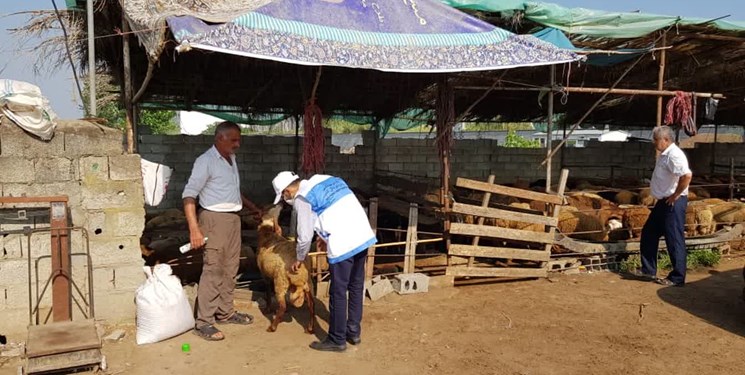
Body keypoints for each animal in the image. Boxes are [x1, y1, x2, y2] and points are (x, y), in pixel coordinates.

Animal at [258, 206, 316, 334]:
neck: (268, 234)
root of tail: (301, 274)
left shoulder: (265, 276)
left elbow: (268, 293)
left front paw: (268, 309)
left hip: (280, 281)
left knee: (282, 306)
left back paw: (272, 327)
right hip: (309, 283)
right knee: (312, 305)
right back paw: (310, 328)